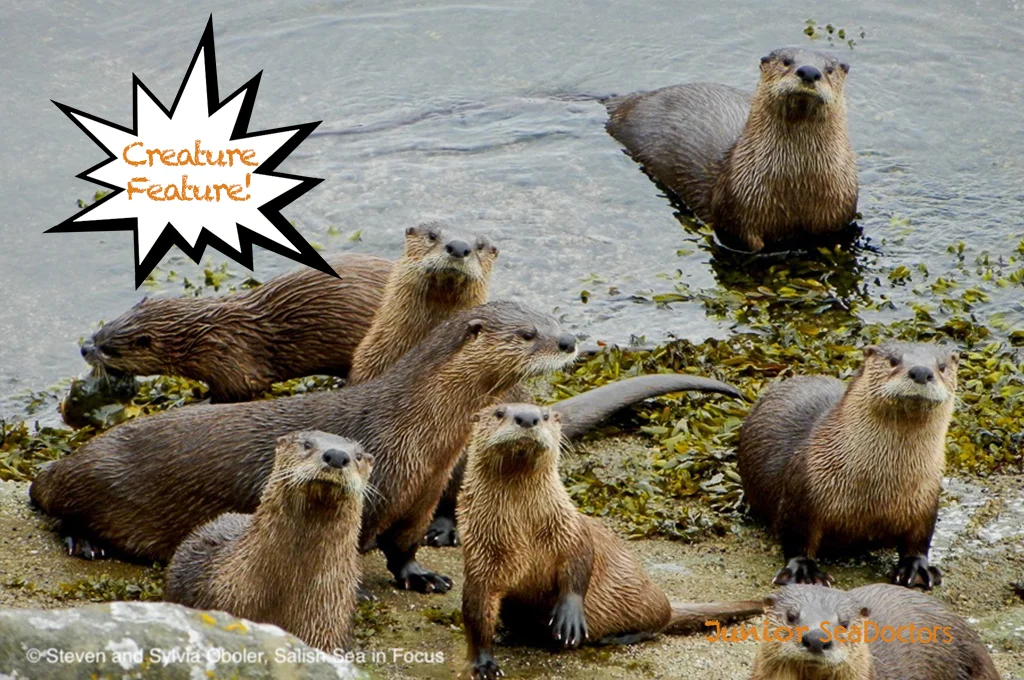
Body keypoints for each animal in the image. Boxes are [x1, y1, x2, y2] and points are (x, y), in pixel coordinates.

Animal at [30, 301, 578, 593]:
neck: (418, 434)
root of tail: (66, 462)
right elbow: (352, 550)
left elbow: (403, 548)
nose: (570, 341)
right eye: (528, 333)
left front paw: (423, 578)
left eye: (554, 320)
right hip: (94, 481)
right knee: (58, 511)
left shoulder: (421, 497)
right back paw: (86, 542)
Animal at [80, 222, 495, 402]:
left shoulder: (233, 364)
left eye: (109, 349)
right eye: (100, 330)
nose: (85, 348)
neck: (207, 333)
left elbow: (235, 391)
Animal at [459, 402, 763, 680]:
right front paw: (483, 663)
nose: (528, 417)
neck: (523, 530)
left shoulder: (571, 529)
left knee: (658, 623)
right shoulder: (480, 555)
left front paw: (570, 618)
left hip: (638, 598)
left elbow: (581, 563)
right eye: (499, 412)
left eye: (544, 414)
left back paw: (615, 637)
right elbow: (477, 613)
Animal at [605, 47, 857, 252]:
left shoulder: (840, 215)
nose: (809, 71)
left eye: (829, 69)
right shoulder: (737, 215)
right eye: (786, 61)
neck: (797, 184)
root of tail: (625, 101)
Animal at [737, 342, 959, 589]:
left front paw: (916, 567)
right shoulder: (803, 488)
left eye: (942, 366)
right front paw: (804, 570)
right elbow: (796, 534)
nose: (921, 372)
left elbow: (920, 538)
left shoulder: (926, 498)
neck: (878, 490)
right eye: (893, 361)